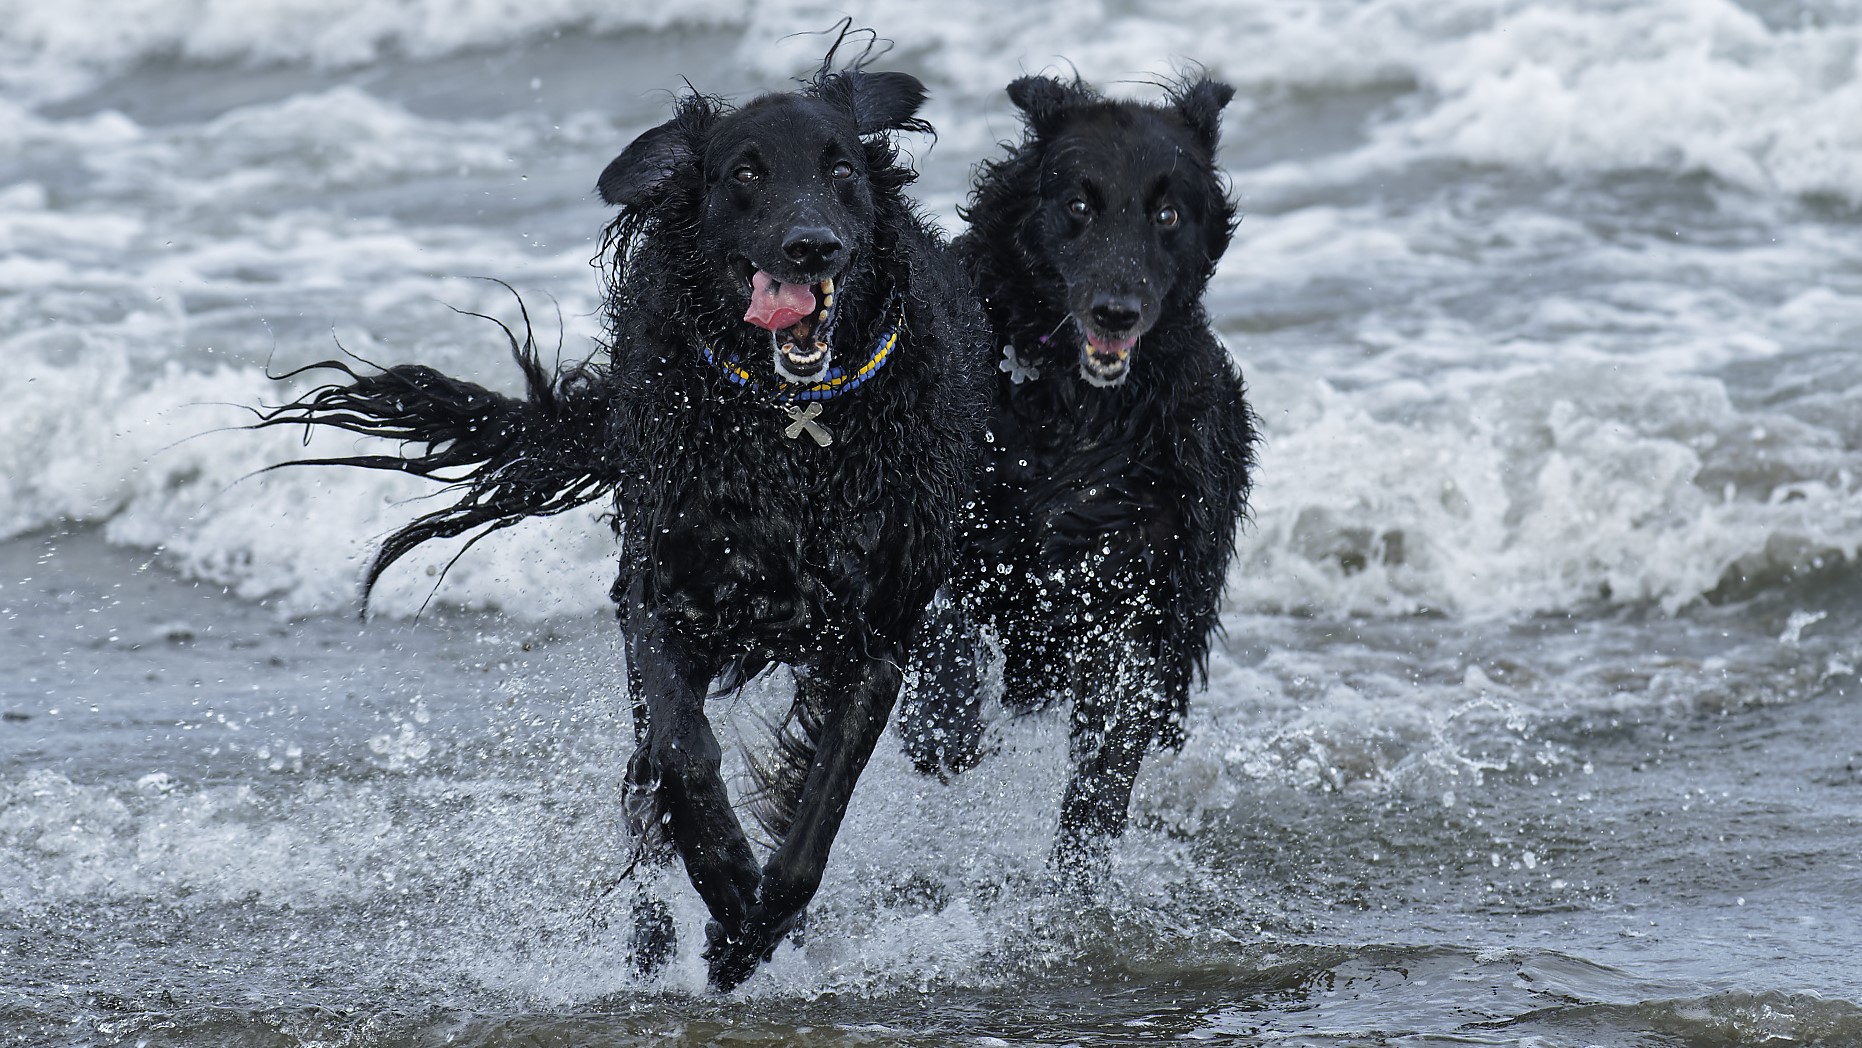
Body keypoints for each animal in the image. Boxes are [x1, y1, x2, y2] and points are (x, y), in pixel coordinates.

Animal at [264, 61, 998, 990]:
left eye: (842, 171)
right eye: (745, 173)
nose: (812, 247)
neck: (791, 432)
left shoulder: (876, 637)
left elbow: (814, 816)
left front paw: (750, 932)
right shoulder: (659, 596)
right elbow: (685, 758)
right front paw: (725, 882)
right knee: (648, 793)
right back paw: (651, 946)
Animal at [897, 75, 1258, 886]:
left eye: (1166, 214)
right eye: (1079, 205)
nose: (1116, 313)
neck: (1071, 408)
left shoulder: (1137, 588)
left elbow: (1107, 758)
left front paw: (1077, 874)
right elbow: (941, 632)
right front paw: (944, 732)